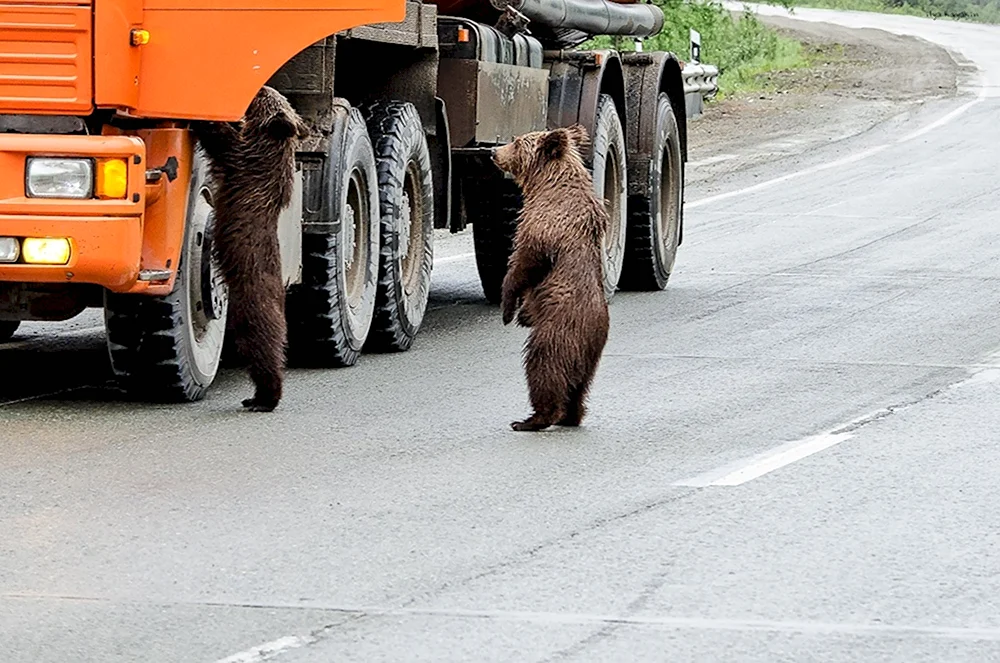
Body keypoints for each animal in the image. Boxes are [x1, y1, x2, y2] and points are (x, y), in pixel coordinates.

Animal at [191, 86, 308, 412]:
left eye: (264, 98)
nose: (263, 86)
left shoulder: (244, 160)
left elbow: (222, 140)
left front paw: (204, 118)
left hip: (250, 308)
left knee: (263, 352)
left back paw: (263, 398)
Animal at [492, 125, 608, 434]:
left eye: (516, 141)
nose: (493, 151)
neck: (545, 185)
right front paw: (522, 314)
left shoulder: (546, 226)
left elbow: (524, 263)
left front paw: (508, 309)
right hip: (589, 360)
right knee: (579, 388)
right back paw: (571, 416)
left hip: (557, 331)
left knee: (543, 368)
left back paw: (531, 419)